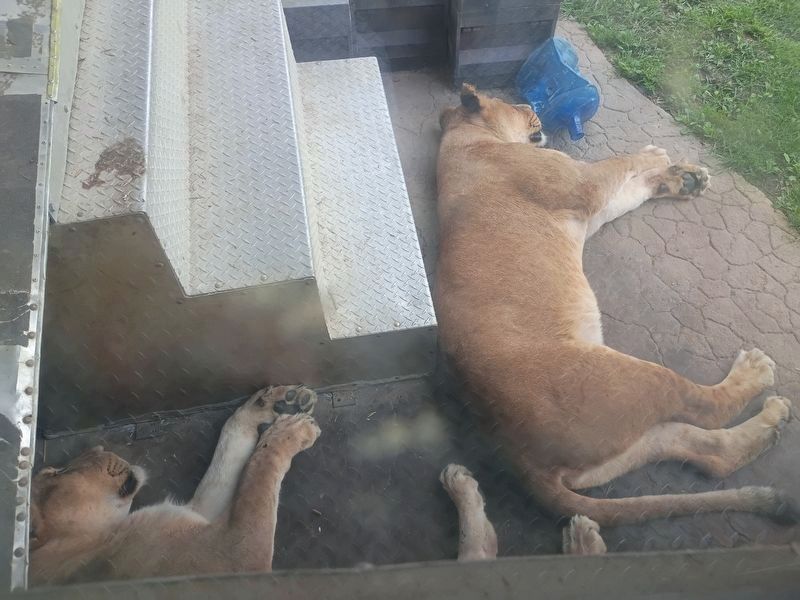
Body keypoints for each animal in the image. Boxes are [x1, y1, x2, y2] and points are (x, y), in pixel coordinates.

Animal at [29, 386, 320, 585]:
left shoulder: (194, 513)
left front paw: (278, 403)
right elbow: (260, 475)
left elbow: (230, 453)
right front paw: (292, 429)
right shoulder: (233, 555)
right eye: (57, 472)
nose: (99, 448)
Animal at [434, 84, 798, 528]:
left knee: (712, 455)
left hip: (627, 441)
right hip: (632, 379)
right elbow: (621, 163)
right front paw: (658, 156)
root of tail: (515, 452)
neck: (467, 138)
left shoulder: (591, 210)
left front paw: (682, 179)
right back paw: (757, 372)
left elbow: (631, 190)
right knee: (706, 409)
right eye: (512, 103)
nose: (531, 105)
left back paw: (773, 419)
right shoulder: (581, 184)